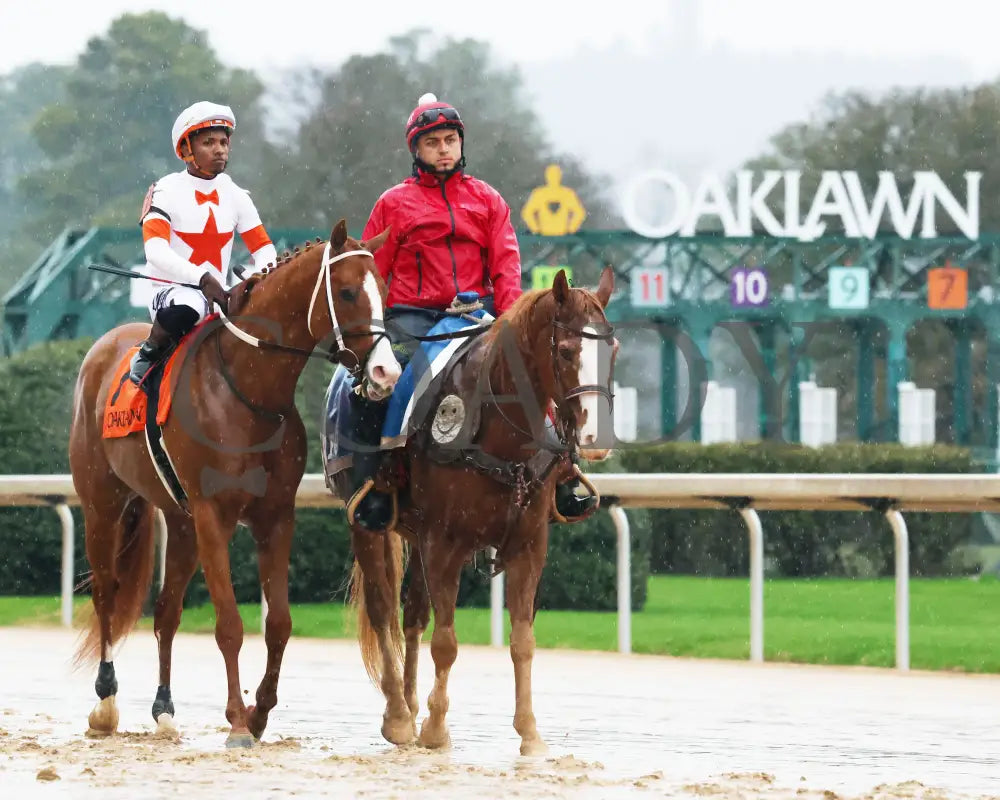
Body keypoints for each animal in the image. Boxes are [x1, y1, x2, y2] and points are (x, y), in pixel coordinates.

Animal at [69, 219, 402, 744]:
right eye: (348, 291)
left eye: (384, 291)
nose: (387, 372)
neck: (248, 393)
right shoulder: (213, 516)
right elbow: (228, 624)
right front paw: (239, 722)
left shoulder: (275, 517)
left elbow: (279, 623)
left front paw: (259, 711)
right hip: (102, 504)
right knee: (105, 592)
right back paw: (105, 702)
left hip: (178, 520)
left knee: (166, 609)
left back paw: (164, 709)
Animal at [338, 268, 616, 756]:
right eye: (566, 350)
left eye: (612, 348)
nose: (596, 437)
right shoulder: (444, 542)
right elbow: (446, 643)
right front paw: (435, 729)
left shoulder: (529, 545)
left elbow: (522, 641)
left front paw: (529, 733)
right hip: (371, 528)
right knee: (383, 610)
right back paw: (399, 717)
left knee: (412, 615)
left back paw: (410, 704)